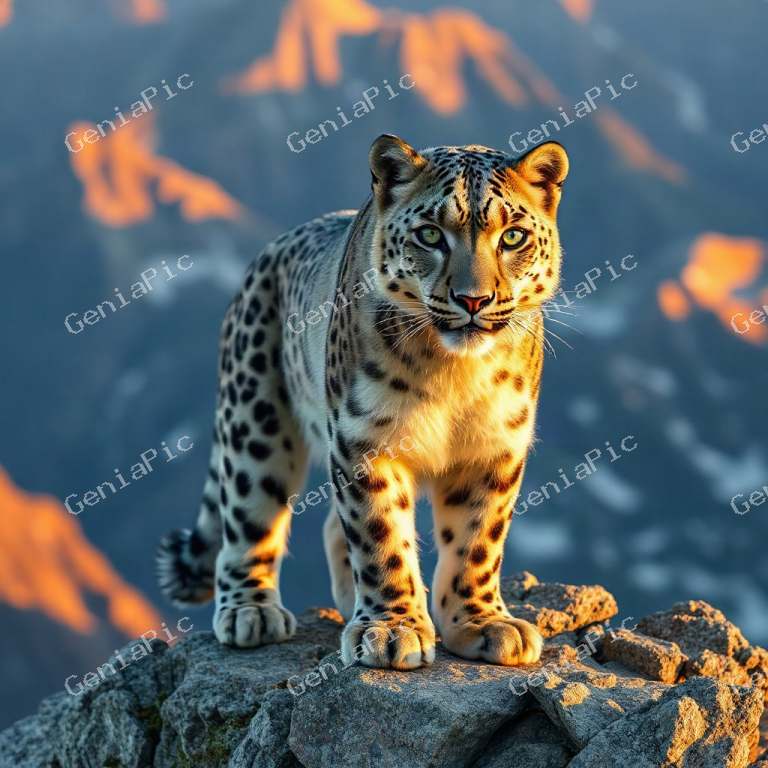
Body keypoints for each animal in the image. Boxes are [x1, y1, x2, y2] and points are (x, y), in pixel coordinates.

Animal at [157, 134, 569, 670]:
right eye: (430, 234)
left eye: (514, 237)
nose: (473, 299)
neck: (455, 373)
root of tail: (268, 253)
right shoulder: (365, 438)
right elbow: (381, 534)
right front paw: (393, 630)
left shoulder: (496, 444)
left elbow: (478, 539)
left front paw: (481, 623)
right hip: (254, 423)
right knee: (249, 517)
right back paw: (251, 612)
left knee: (332, 527)